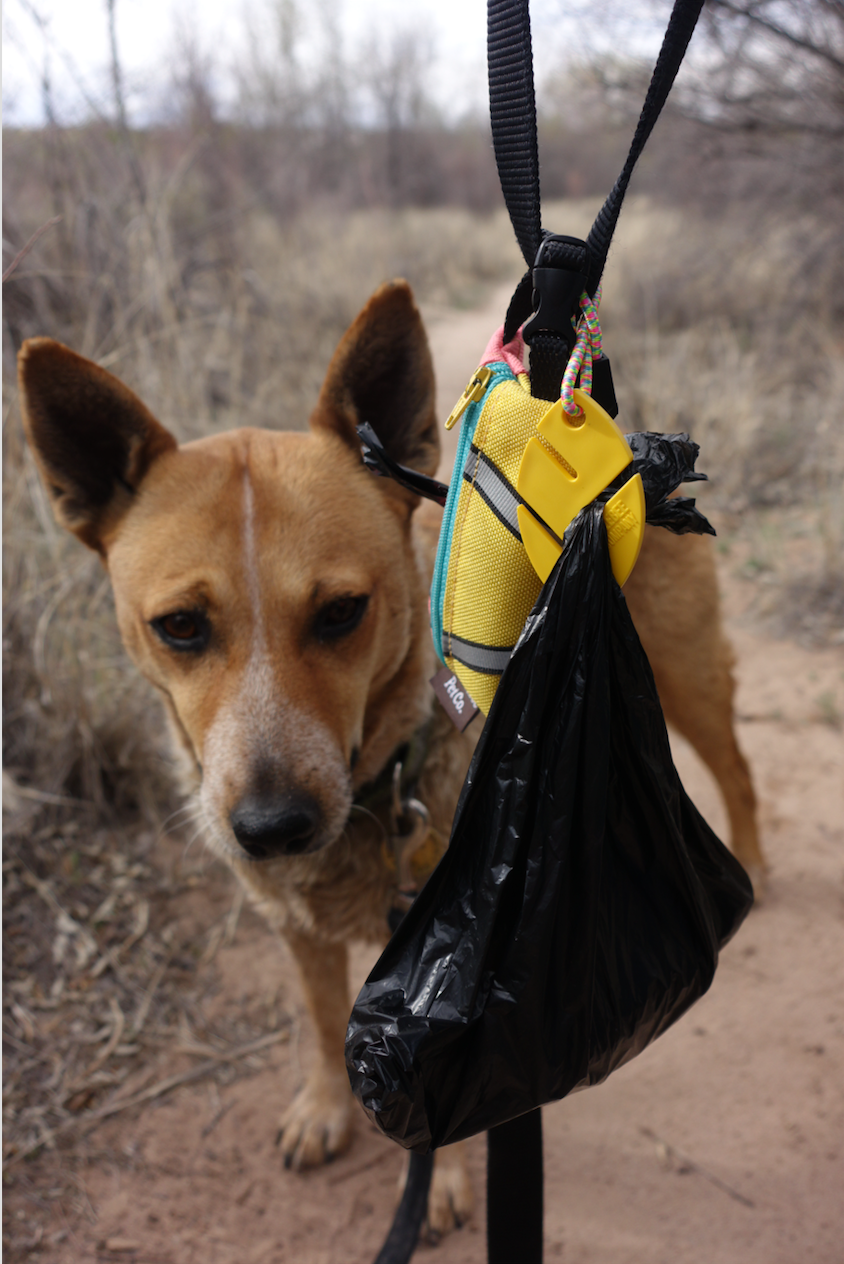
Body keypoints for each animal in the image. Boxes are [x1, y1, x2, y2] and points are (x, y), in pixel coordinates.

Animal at [18, 281, 763, 1238]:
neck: (385, 775)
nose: (272, 828)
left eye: (342, 611)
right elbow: (319, 1013)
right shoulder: (297, 928)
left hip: (689, 672)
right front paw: (323, 1109)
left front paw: (438, 1181)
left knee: (737, 767)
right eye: (179, 626)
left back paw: (755, 857)